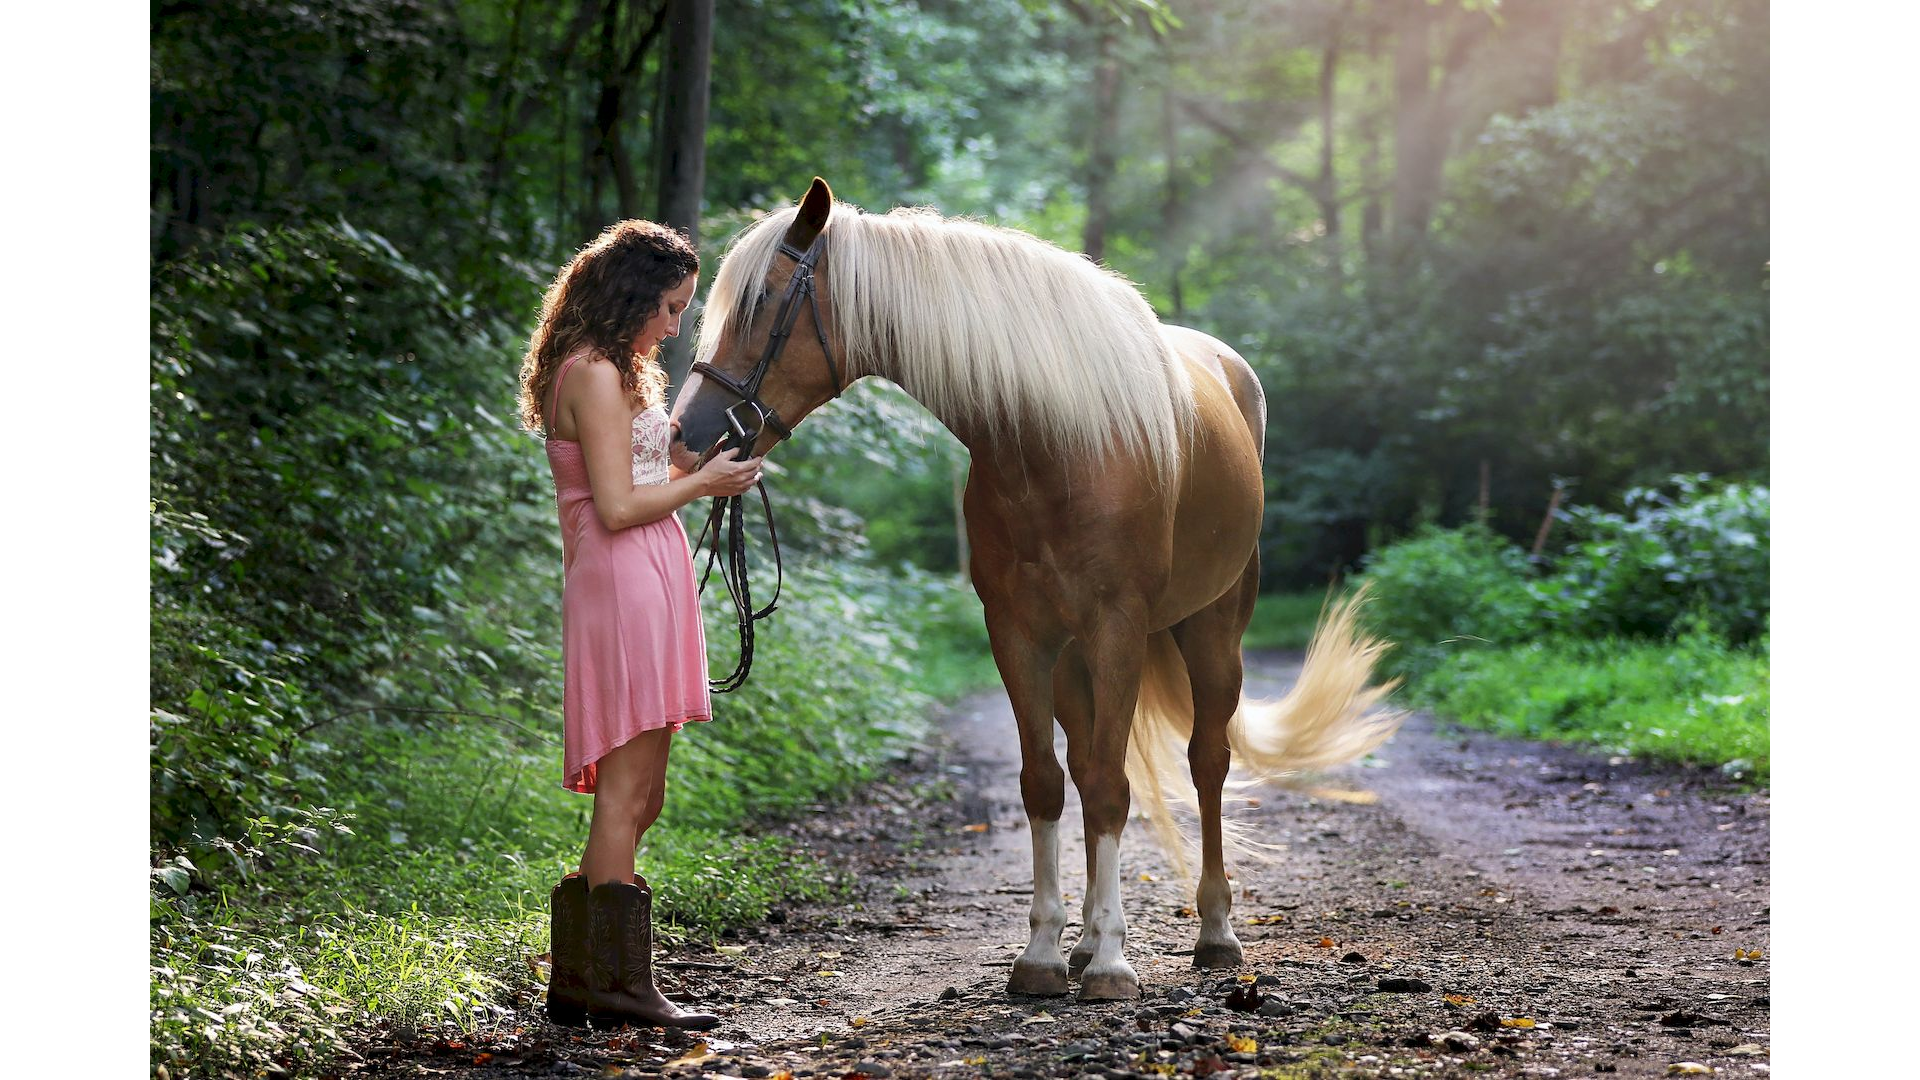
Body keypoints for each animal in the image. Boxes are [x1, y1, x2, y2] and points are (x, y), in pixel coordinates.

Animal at [670, 178, 1400, 1001]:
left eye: (762, 301)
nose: (685, 435)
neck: (1054, 444)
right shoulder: (1019, 635)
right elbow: (1046, 784)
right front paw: (1048, 954)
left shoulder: (1117, 628)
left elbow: (1113, 787)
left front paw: (1114, 964)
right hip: (1077, 659)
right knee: (1085, 764)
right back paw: (1084, 941)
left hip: (1213, 632)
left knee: (1206, 762)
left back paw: (1214, 933)